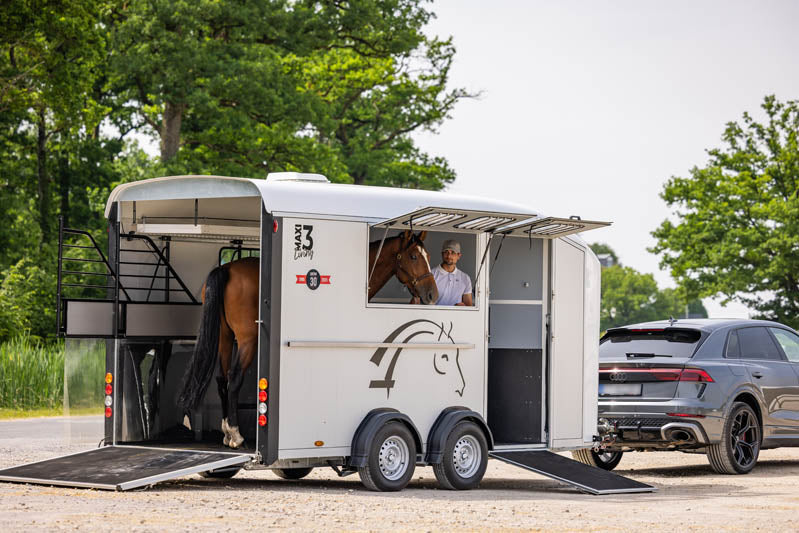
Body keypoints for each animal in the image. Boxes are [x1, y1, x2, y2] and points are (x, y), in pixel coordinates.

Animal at [178, 229, 438, 449]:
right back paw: (236, 435)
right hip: (247, 340)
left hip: (224, 336)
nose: (432, 295)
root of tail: (227, 269)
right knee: (234, 378)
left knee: (222, 379)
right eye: (414, 256)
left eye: (427, 255)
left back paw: (226, 433)